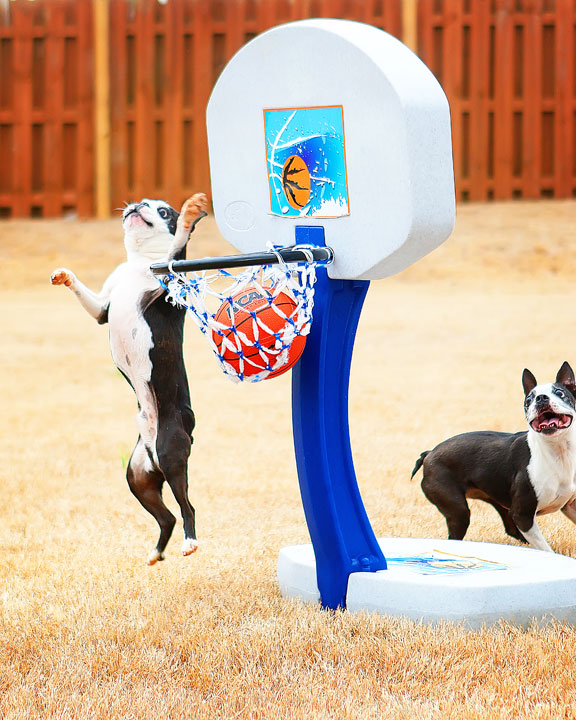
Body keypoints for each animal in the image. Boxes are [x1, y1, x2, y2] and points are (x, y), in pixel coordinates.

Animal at [50, 194, 207, 564]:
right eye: (142, 202)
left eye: (163, 211)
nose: (138, 205)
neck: (140, 262)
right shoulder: (101, 309)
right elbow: (89, 297)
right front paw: (65, 276)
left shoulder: (172, 284)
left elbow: (177, 248)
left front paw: (189, 215)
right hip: (137, 477)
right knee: (166, 517)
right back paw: (156, 552)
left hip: (171, 451)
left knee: (187, 507)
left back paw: (190, 542)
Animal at [412, 362, 576, 556]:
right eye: (528, 401)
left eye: (560, 393)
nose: (541, 398)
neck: (558, 451)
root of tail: (429, 454)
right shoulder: (523, 515)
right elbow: (545, 549)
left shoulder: (570, 506)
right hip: (458, 511)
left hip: (498, 502)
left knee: (510, 528)